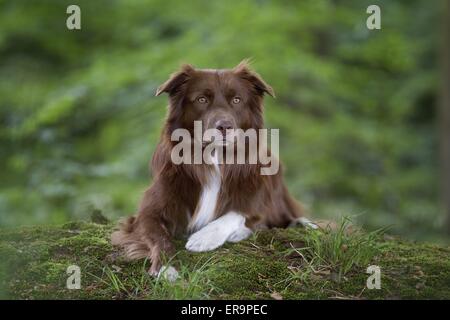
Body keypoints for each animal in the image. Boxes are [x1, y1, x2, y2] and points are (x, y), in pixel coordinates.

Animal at [112, 61, 316, 276]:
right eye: (201, 99)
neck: (215, 157)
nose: (224, 126)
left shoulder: (260, 198)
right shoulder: (147, 213)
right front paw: (167, 267)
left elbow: (240, 211)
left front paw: (205, 237)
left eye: (236, 100)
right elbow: (159, 237)